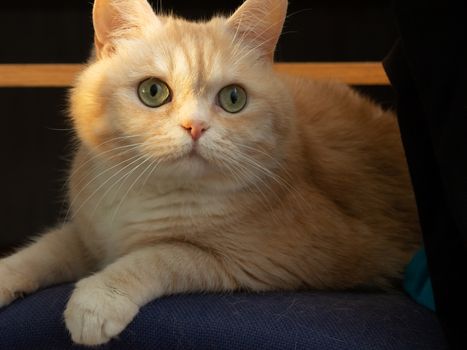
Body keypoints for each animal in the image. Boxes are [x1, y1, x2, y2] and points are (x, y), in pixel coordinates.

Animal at [0, 0, 422, 346]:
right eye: (153, 92)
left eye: (233, 98)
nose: (196, 126)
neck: (148, 194)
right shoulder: (90, 236)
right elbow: (45, 249)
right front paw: (7, 274)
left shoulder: (258, 263)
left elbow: (161, 254)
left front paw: (100, 297)